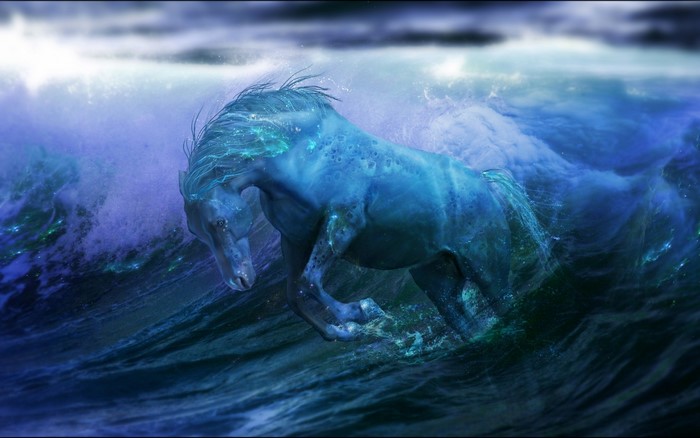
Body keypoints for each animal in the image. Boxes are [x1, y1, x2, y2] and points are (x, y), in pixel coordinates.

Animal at [179, 75, 550, 342]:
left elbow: (308, 283)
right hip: (436, 277)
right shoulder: (295, 240)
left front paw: (362, 312)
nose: (239, 281)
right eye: (198, 233)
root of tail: (486, 182)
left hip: (487, 268)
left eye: (219, 222)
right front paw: (344, 332)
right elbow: (294, 296)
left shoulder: (343, 223)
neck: (301, 159)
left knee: (501, 301)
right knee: (461, 318)